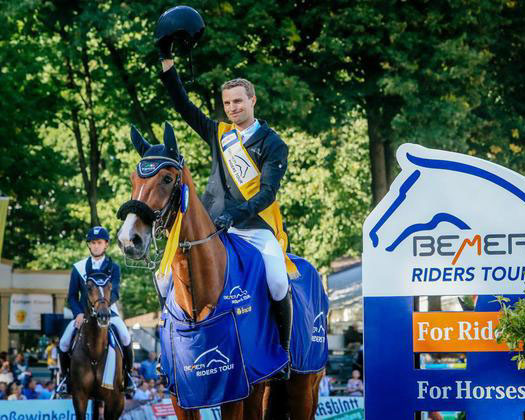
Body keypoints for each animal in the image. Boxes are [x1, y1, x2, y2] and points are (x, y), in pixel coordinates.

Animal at [69, 270, 125, 418]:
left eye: (110, 287)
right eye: (88, 287)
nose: (103, 315)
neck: (95, 351)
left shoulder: (114, 398)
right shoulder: (79, 396)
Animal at [117, 123, 326, 418]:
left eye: (167, 179)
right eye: (134, 180)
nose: (129, 240)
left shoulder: (237, 390)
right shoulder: (182, 396)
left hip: (303, 385)